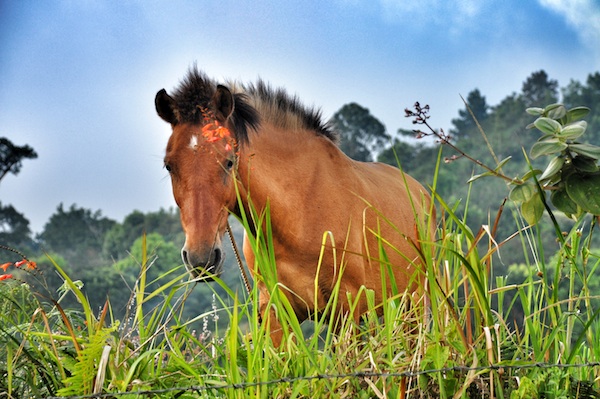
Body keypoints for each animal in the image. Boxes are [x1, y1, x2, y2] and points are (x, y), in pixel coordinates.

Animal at [156, 67, 432, 346]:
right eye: (169, 165)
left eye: (229, 161)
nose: (201, 258)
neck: (299, 213)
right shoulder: (275, 314)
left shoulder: (347, 308)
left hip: (418, 301)